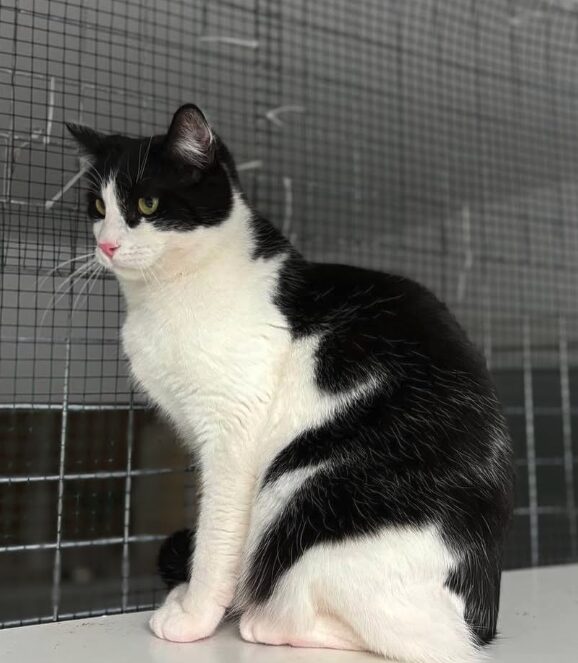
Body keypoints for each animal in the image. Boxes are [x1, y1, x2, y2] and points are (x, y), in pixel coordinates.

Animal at [67, 106, 512, 660]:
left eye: (146, 204)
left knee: (416, 637)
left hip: (297, 493)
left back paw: (266, 621)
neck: (166, 296)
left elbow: (216, 538)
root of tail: (483, 613)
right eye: (97, 206)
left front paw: (194, 615)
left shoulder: (232, 432)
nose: (105, 244)